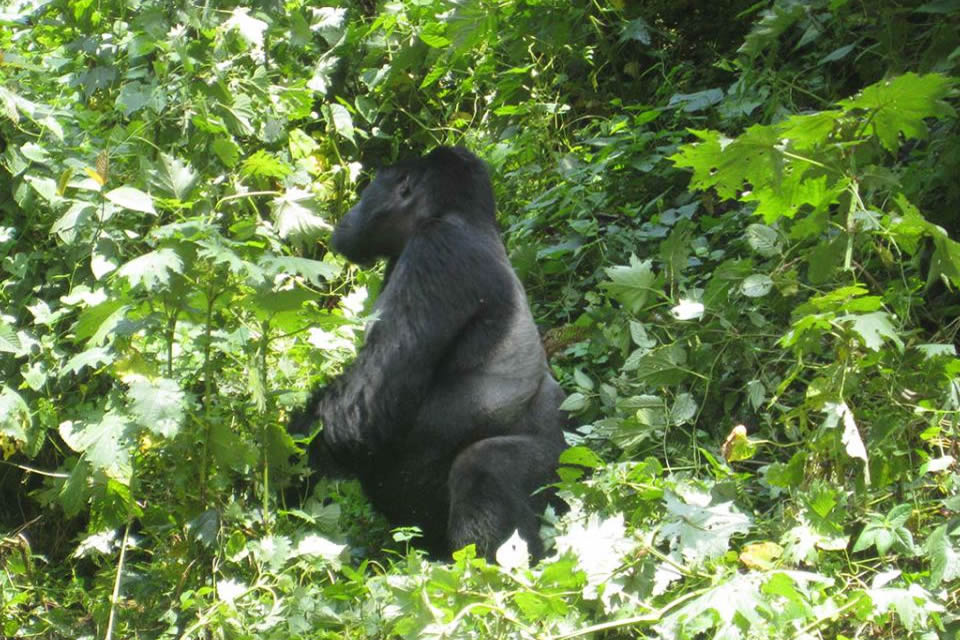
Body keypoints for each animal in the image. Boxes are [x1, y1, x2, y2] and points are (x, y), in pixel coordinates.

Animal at [288, 145, 568, 560]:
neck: (460, 216)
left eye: (370, 188)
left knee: (483, 466)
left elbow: (362, 411)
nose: (349, 214)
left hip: (565, 471)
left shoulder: (436, 249)